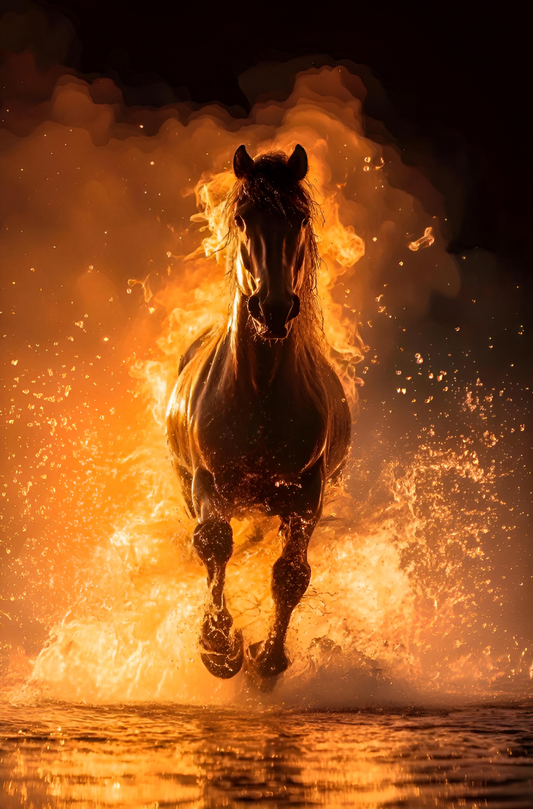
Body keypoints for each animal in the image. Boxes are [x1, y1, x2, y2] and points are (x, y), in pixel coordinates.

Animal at [166, 144, 351, 685]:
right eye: (243, 217)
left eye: (300, 218)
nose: (272, 309)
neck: (260, 393)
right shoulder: (208, 482)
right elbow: (213, 544)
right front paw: (220, 647)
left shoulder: (306, 494)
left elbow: (290, 576)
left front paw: (267, 658)